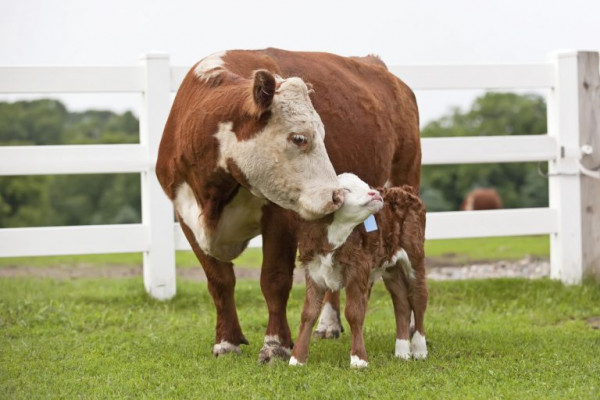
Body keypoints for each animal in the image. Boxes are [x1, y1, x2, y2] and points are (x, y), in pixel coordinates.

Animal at [290, 173, 426, 368]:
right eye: (345, 189)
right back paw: (402, 352)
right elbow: (308, 313)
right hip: (391, 266)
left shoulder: (357, 270)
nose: (374, 193)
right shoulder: (313, 271)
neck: (333, 239)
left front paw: (358, 360)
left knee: (418, 297)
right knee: (401, 302)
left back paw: (420, 349)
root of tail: (403, 189)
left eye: (367, 185)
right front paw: (297, 358)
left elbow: (354, 313)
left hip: (415, 256)